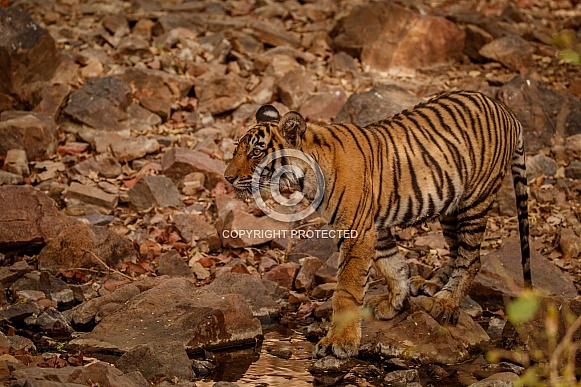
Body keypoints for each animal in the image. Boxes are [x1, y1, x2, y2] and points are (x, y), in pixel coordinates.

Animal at [222, 91, 532, 360]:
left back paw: (445, 302)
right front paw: (395, 302)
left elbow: (347, 289)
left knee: (471, 259)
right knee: (457, 252)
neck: (307, 177)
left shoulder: (357, 230)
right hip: (449, 206)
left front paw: (339, 342)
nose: (227, 177)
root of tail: (507, 112)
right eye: (237, 149)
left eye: (257, 153)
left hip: (474, 201)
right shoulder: (377, 227)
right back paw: (431, 285)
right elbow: (392, 265)